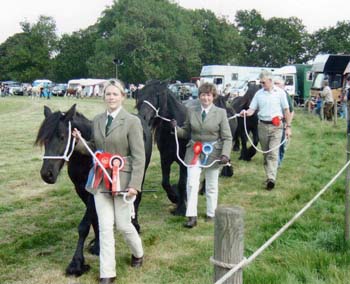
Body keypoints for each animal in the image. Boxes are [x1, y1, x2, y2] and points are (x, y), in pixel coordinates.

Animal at [34, 103, 153, 276]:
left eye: (62, 137)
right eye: (45, 140)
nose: (47, 174)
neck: (84, 157)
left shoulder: (93, 191)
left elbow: (84, 226)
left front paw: (76, 263)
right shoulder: (81, 190)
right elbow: (95, 217)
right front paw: (97, 244)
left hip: (140, 173)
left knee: (136, 199)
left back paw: (135, 225)